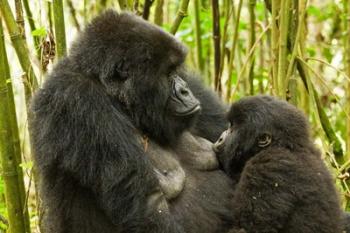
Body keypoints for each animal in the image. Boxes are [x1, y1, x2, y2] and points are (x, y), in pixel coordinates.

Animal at [213, 95, 342, 233]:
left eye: (232, 129)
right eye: (229, 125)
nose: (220, 138)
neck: (285, 146)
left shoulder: (265, 168)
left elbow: (248, 228)